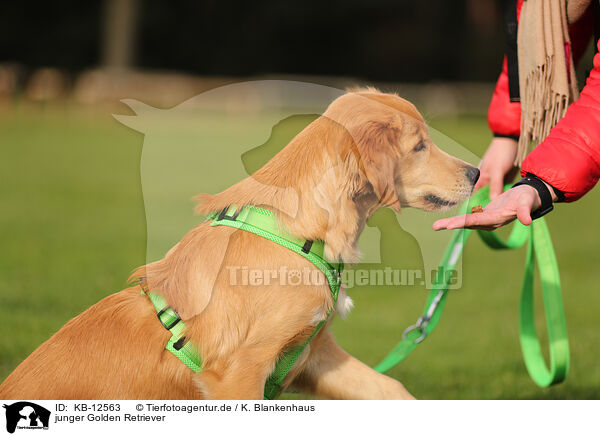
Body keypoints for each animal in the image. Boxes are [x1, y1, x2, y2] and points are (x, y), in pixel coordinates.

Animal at [0, 87, 478, 398]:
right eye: (419, 146)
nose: (476, 173)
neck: (296, 233)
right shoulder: (239, 371)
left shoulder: (316, 352)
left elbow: (391, 387)